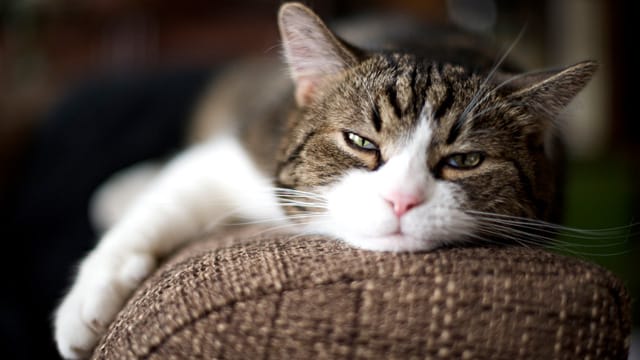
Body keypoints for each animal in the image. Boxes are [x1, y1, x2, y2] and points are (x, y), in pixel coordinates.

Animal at [52, 2, 596, 358]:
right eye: (359, 142)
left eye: (464, 160)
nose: (401, 200)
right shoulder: (244, 150)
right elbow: (168, 198)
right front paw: (88, 300)